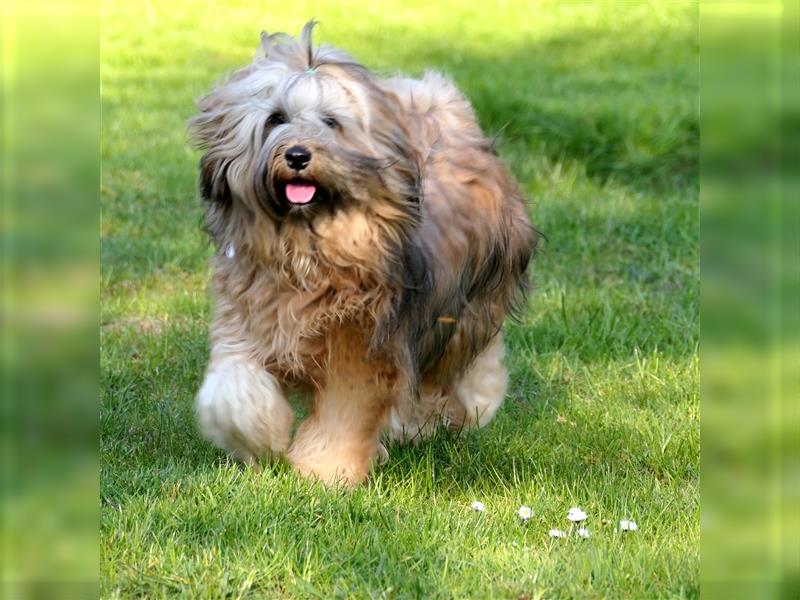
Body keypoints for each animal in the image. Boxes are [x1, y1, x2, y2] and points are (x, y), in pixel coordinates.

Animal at [189, 21, 536, 486]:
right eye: (276, 118)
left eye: (331, 122)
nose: (297, 155)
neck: (308, 247)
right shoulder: (248, 321)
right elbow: (232, 392)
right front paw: (262, 440)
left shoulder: (362, 341)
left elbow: (345, 412)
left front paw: (324, 472)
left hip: (465, 305)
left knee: (464, 364)